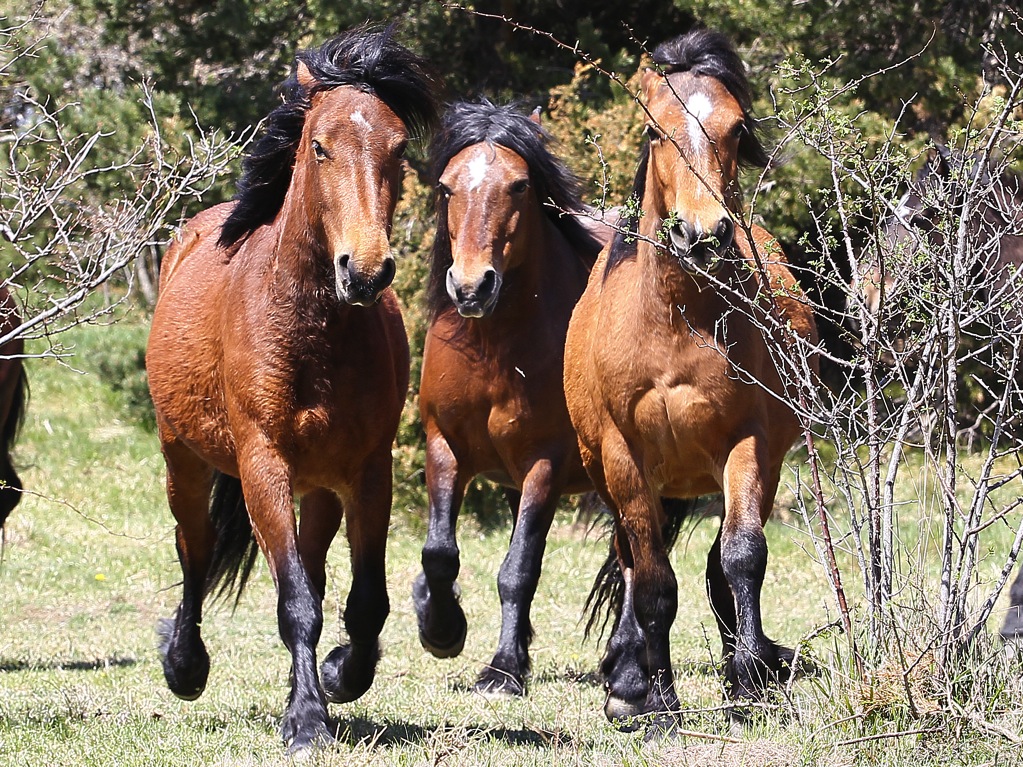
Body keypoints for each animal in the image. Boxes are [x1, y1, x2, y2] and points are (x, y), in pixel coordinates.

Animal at [143, 27, 435, 752]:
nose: (365, 270)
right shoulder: (262, 465)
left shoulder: (367, 471)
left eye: (399, 148)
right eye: (320, 145)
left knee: (312, 565)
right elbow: (296, 600)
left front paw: (337, 678)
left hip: (320, 488)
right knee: (194, 551)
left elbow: (364, 599)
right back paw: (184, 665)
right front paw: (306, 721)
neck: (312, 331)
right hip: (183, 460)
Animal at [411, 99, 609, 699]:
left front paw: (501, 669)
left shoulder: (544, 463)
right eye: (447, 187)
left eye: (520, 186)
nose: (472, 287)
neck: (494, 350)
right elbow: (439, 553)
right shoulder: (444, 447)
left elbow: (518, 568)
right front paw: (442, 628)